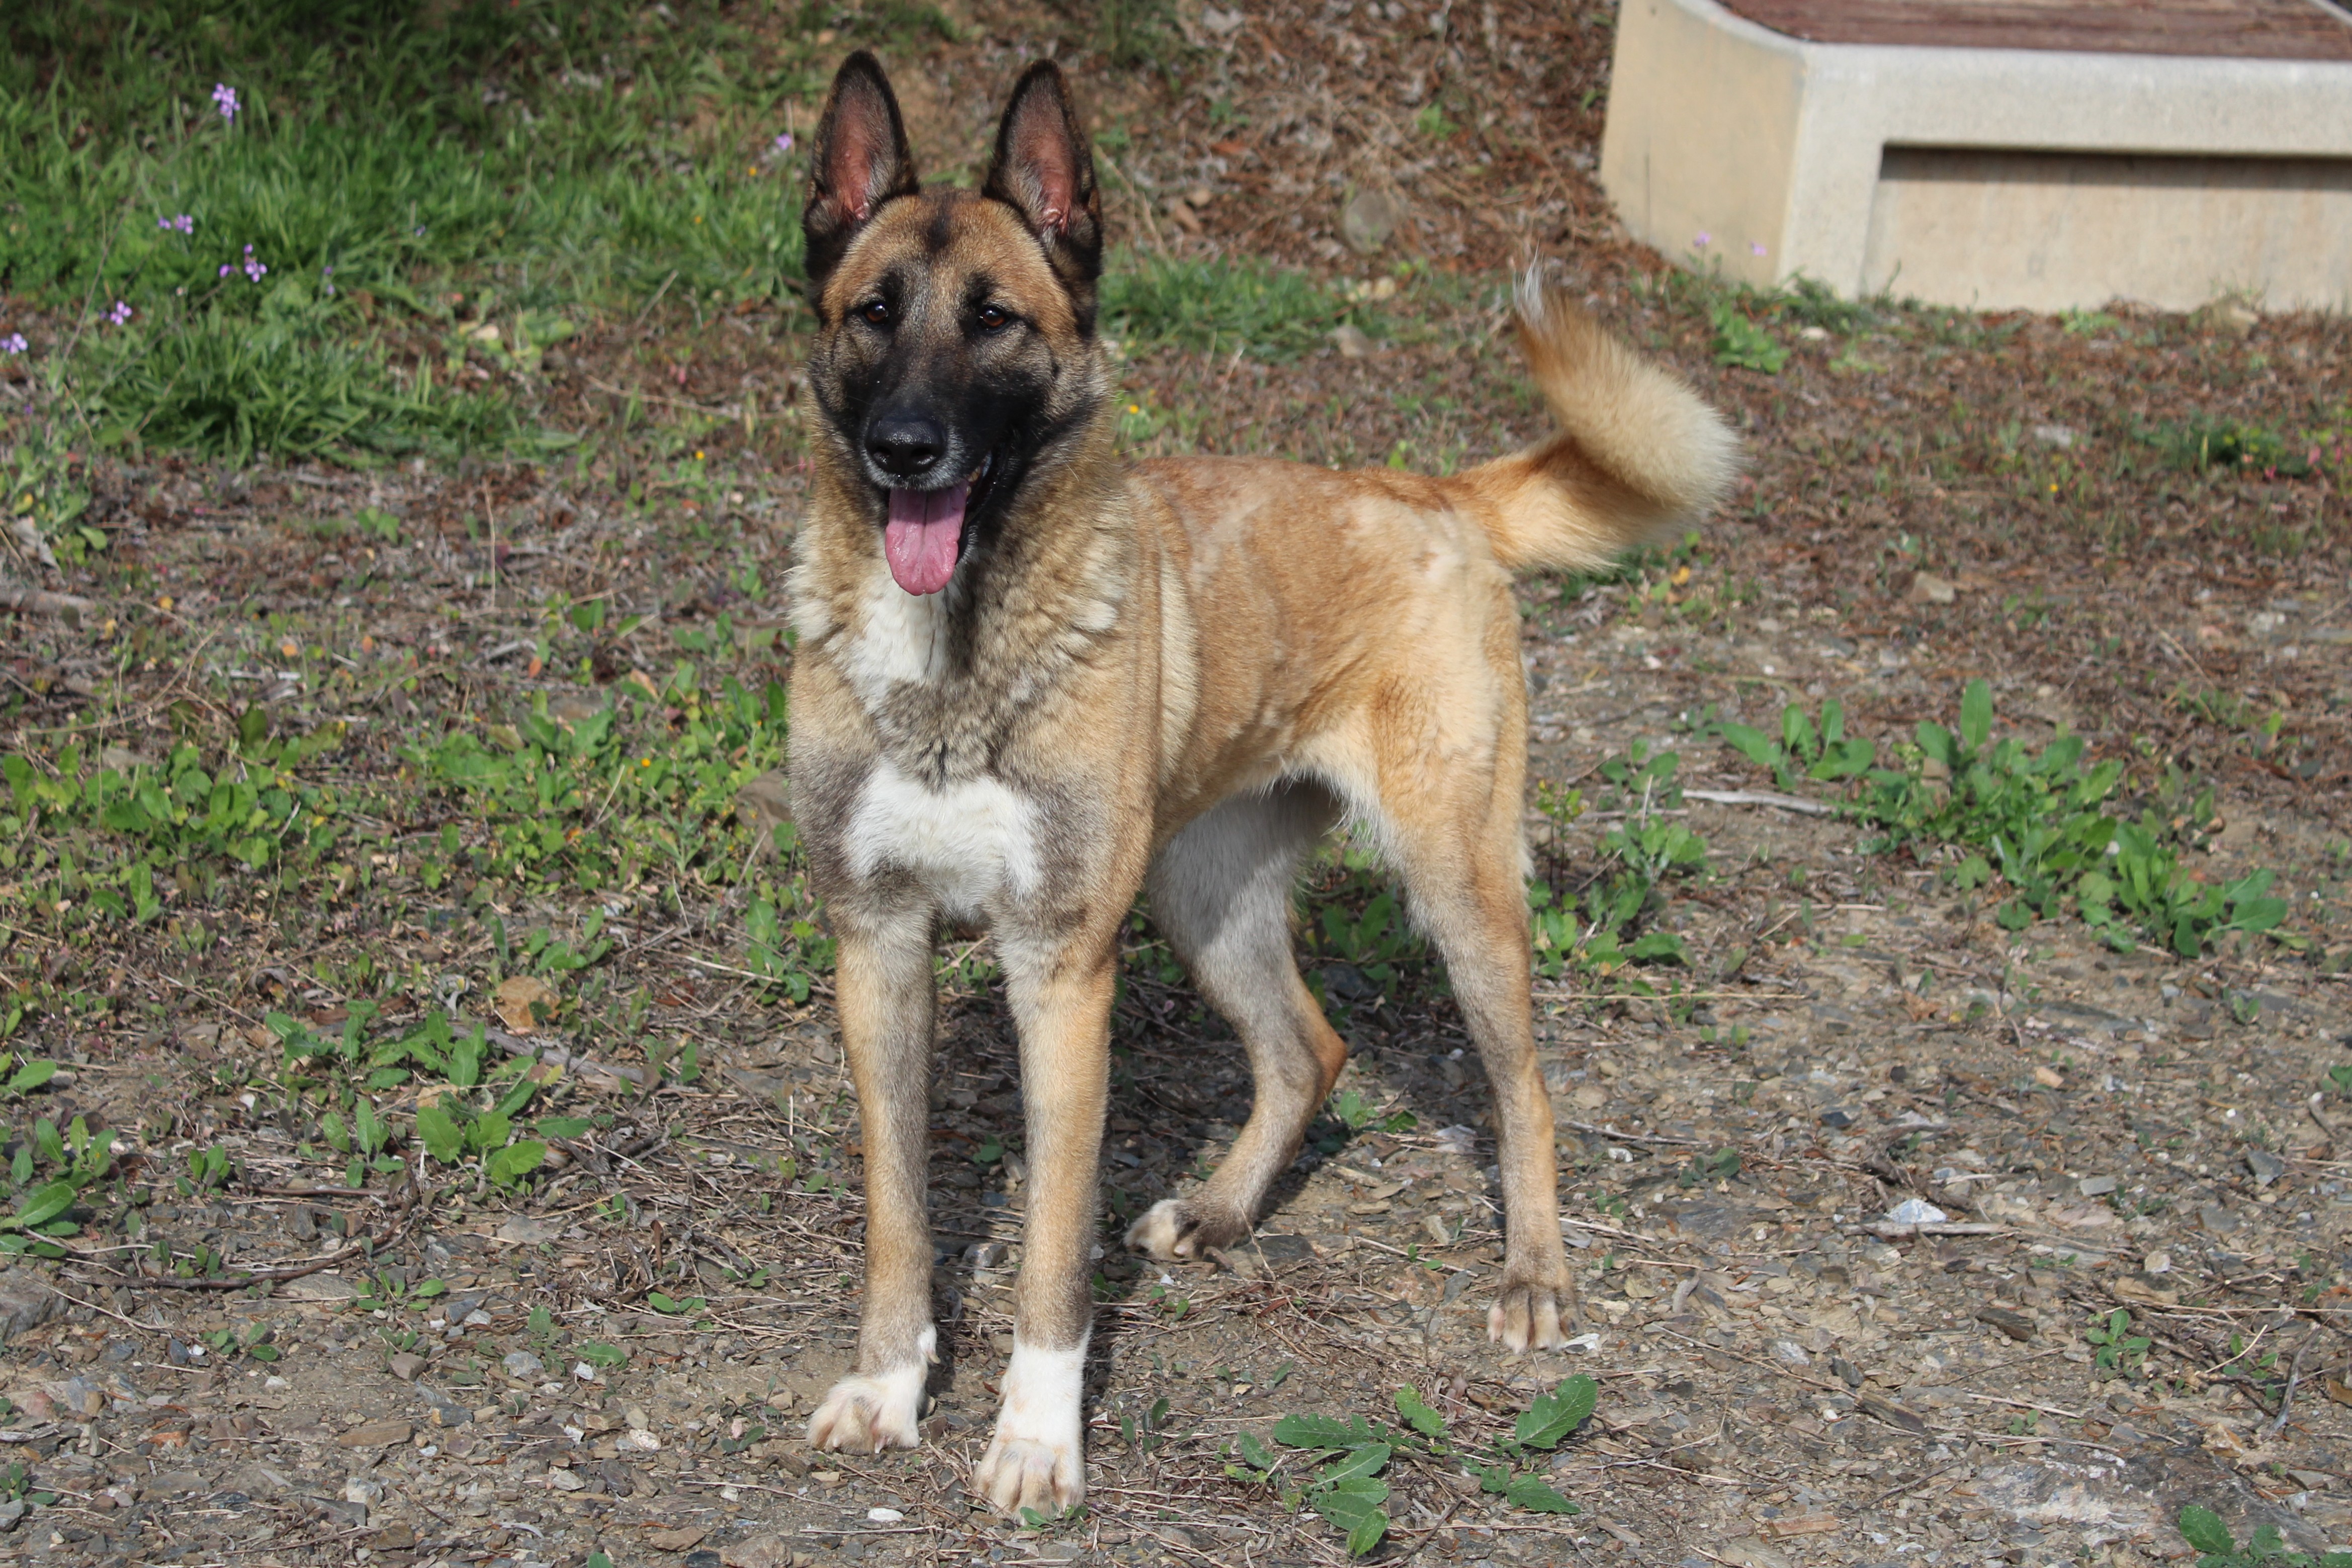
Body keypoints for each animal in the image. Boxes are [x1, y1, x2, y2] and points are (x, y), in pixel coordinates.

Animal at [786, 52, 1731, 1523]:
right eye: (873, 312)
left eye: (994, 321)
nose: (904, 447)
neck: (956, 658)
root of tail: (1429, 491)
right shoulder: (874, 945)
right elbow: (898, 1217)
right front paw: (888, 1387)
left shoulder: (1062, 975)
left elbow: (1050, 1253)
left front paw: (1036, 1440)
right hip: (1201, 893)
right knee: (1309, 1049)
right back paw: (1225, 1207)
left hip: (1456, 890)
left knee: (1521, 1083)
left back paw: (1532, 1272)